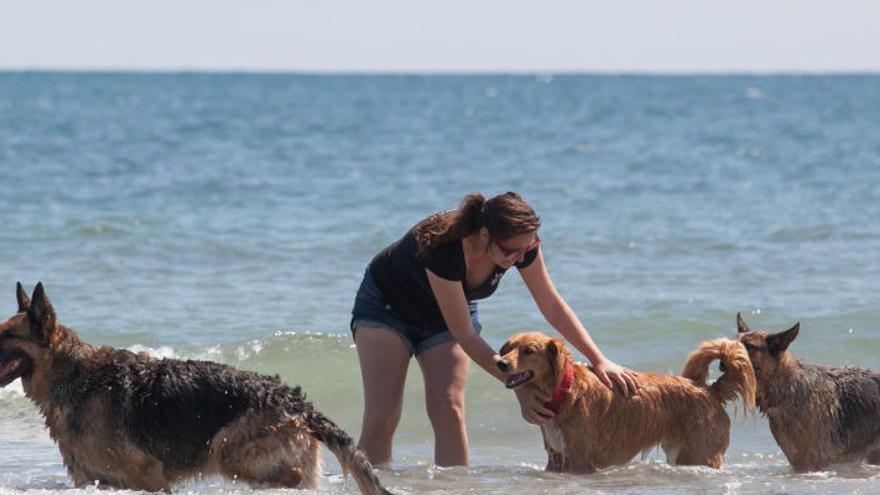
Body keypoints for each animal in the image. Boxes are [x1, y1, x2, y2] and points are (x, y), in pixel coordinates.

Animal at [496, 332, 756, 474]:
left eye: (529, 351)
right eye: (509, 348)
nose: (500, 363)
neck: (564, 390)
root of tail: (708, 388)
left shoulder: (580, 461)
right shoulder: (555, 458)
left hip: (703, 455)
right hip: (681, 455)